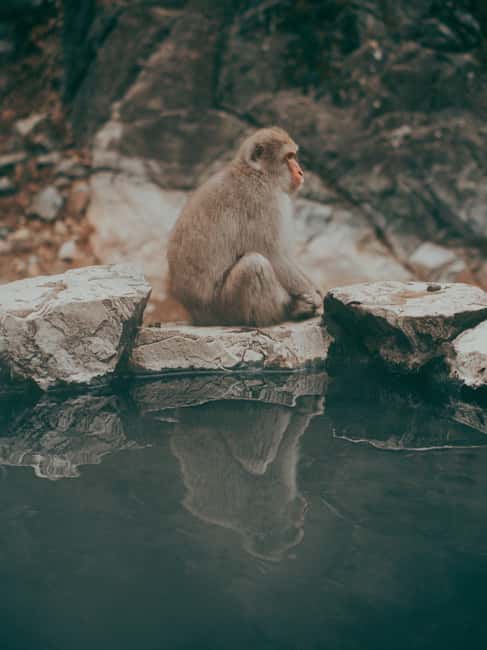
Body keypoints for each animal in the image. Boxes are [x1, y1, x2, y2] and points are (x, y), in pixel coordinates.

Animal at [167, 126, 322, 327]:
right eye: (288, 157)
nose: (300, 172)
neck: (258, 173)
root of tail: (196, 317)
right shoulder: (262, 201)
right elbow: (272, 254)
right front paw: (313, 295)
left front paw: (315, 289)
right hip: (224, 309)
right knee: (253, 264)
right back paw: (290, 311)